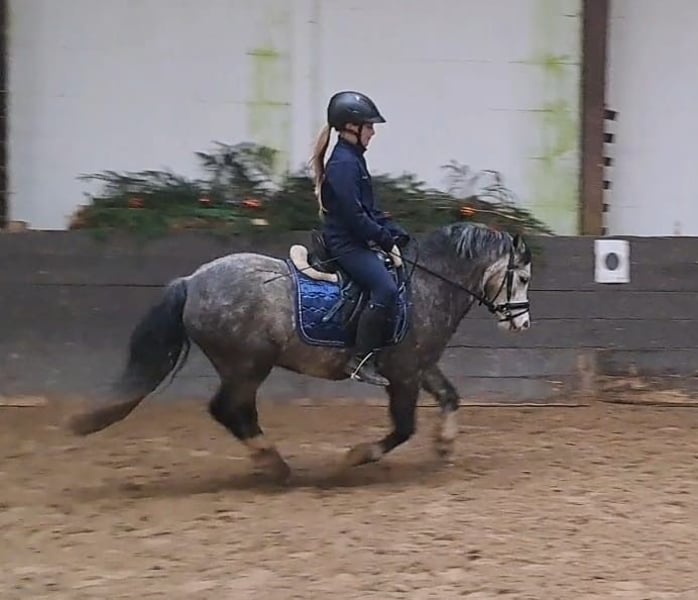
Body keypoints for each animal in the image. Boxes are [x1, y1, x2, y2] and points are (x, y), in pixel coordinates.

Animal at [68, 221, 533, 482]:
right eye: (524, 277)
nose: (522, 324)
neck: (427, 284)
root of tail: (193, 281)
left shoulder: (421, 366)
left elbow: (452, 397)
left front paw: (445, 446)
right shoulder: (402, 374)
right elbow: (403, 428)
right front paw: (355, 457)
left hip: (244, 366)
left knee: (234, 411)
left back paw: (270, 462)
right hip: (247, 364)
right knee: (230, 409)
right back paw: (273, 463)